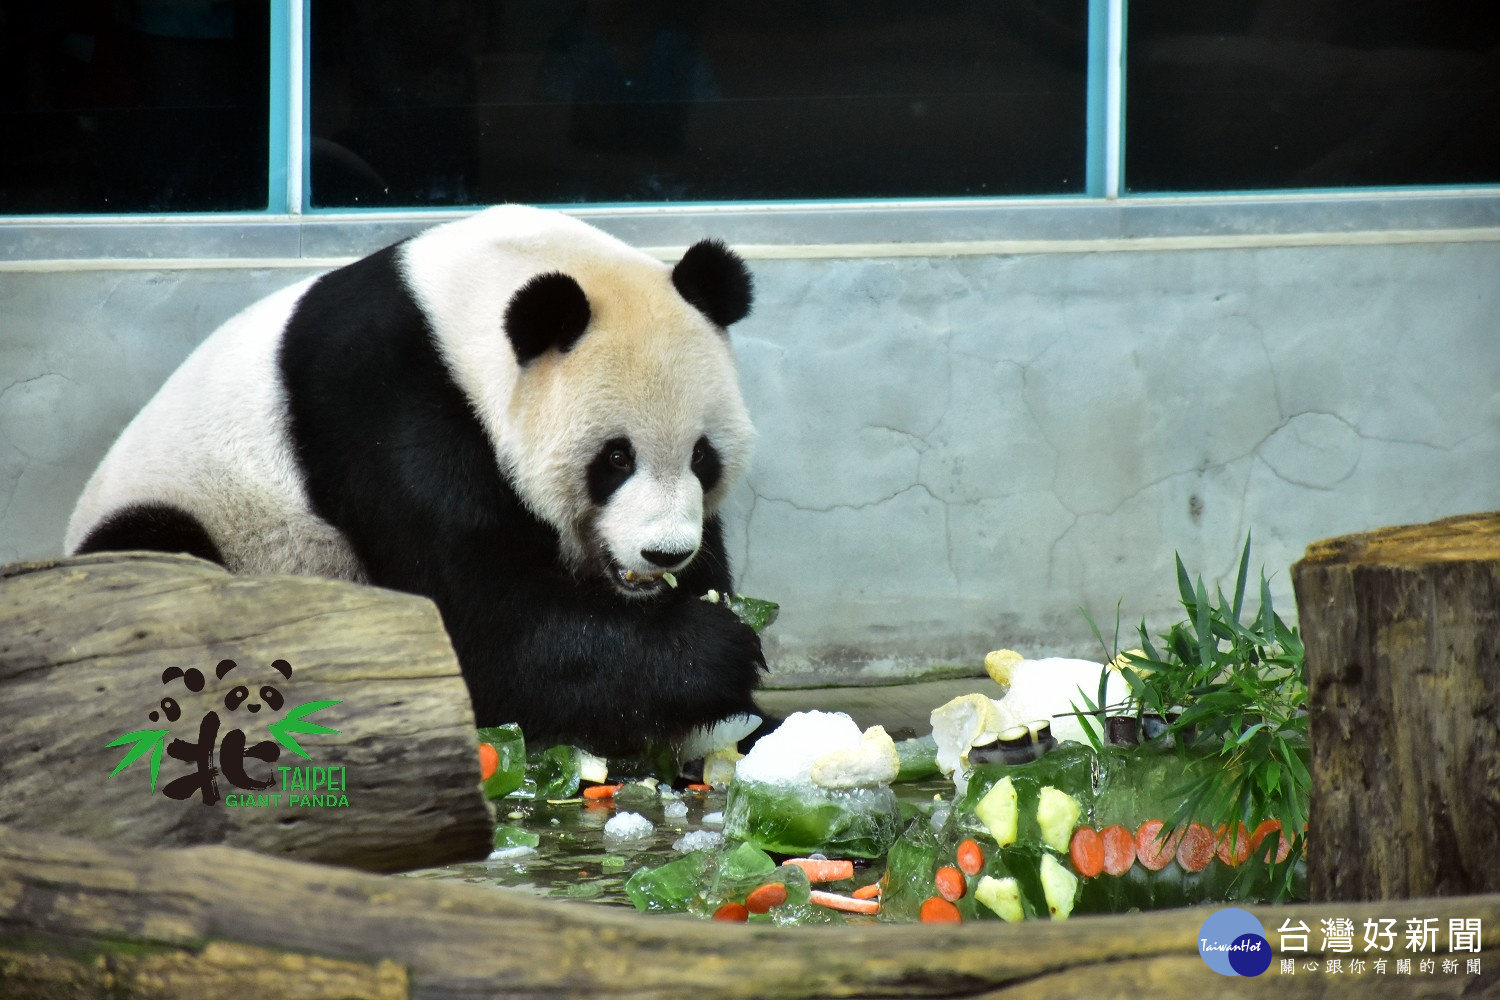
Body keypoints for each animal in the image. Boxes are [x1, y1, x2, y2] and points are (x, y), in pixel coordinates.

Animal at [67, 205, 774, 749]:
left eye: (703, 456)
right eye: (616, 459)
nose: (665, 553)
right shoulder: (388, 407)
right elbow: (479, 626)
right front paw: (716, 651)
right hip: (193, 511)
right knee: (155, 569)